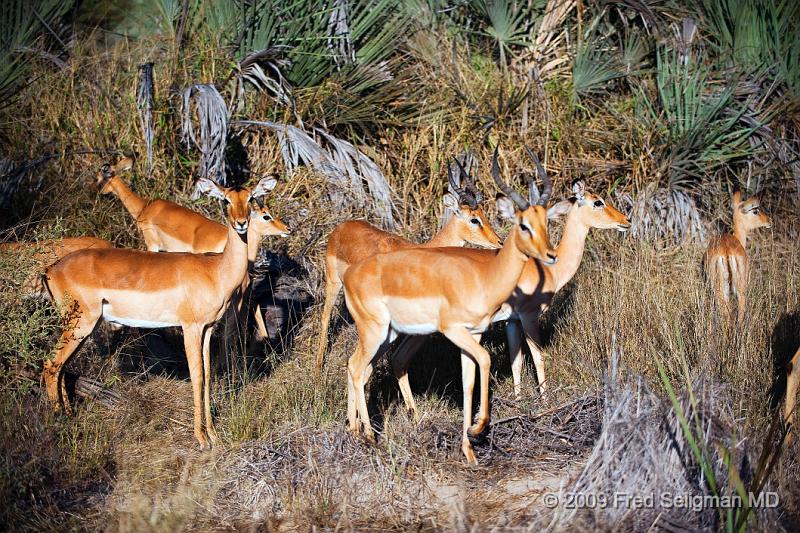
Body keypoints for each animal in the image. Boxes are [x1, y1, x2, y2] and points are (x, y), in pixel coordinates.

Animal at [43, 176, 282, 448]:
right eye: (226, 200)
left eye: (250, 198)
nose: (241, 223)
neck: (215, 270)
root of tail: (50, 270)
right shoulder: (190, 327)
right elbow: (197, 376)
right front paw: (202, 439)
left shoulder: (208, 329)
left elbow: (208, 373)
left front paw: (213, 434)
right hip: (80, 324)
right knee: (51, 363)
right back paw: (60, 418)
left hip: (82, 329)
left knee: (60, 366)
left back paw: (69, 414)